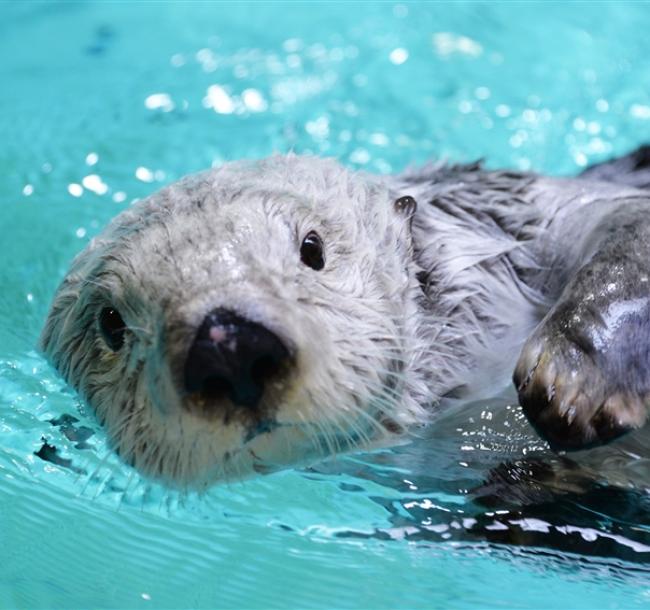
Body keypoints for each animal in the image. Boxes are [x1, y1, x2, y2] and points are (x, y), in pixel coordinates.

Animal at [38, 148, 648, 490]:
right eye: (111, 324)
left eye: (312, 248)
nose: (229, 346)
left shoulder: (527, 221)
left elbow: (629, 234)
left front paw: (573, 381)